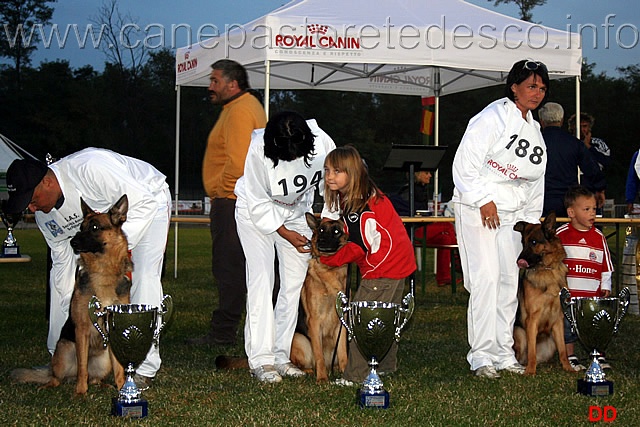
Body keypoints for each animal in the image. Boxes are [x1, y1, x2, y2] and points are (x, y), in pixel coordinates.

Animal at [11, 196, 132, 396]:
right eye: (80, 227)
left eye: (95, 227)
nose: (72, 243)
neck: (103, 271)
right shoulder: (82, 329)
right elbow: (82, 368)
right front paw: (81, 393)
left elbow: (119, 368)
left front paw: (123, 389)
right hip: (65, 352)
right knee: (60, 376)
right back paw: (50, 385)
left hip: (104, 360)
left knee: (95, 377)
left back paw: (103, 384)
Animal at [512, 212, 576, 376]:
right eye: (523, 242)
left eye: (534, 242)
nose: (518, 261)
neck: (547, 270)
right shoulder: (532, 319)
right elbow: (532, 352)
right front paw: (530, 371)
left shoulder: (558, 319)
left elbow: (563, 351)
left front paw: (568, 368)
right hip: (520, 333)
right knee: (522, 354)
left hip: (551, 342)